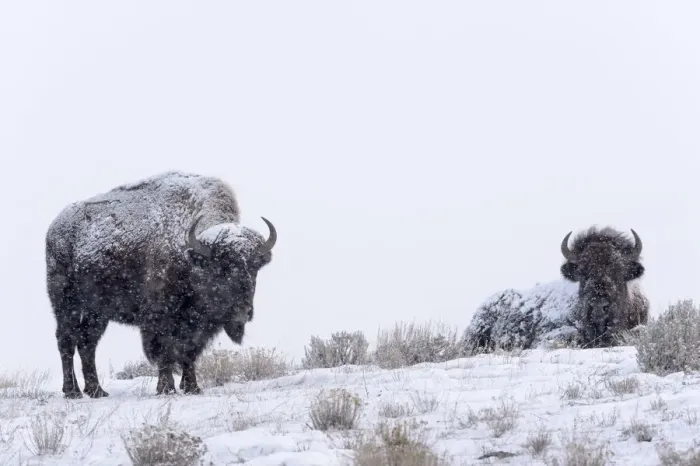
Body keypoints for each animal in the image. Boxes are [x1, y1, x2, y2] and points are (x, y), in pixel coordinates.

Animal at [45, 171, 276, 398]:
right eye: (221, 267)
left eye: (255, 266)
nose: (243, 312)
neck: (191, 254)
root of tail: (54, 228)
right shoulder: (159, 318)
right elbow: (164, 351)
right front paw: (166, 388)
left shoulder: (196, 325)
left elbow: (189, 353)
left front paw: (193, 387)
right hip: (66, 304)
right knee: (66, 341)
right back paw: (72, 391)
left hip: (97, 312)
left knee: (87, 343)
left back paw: (96, 391)